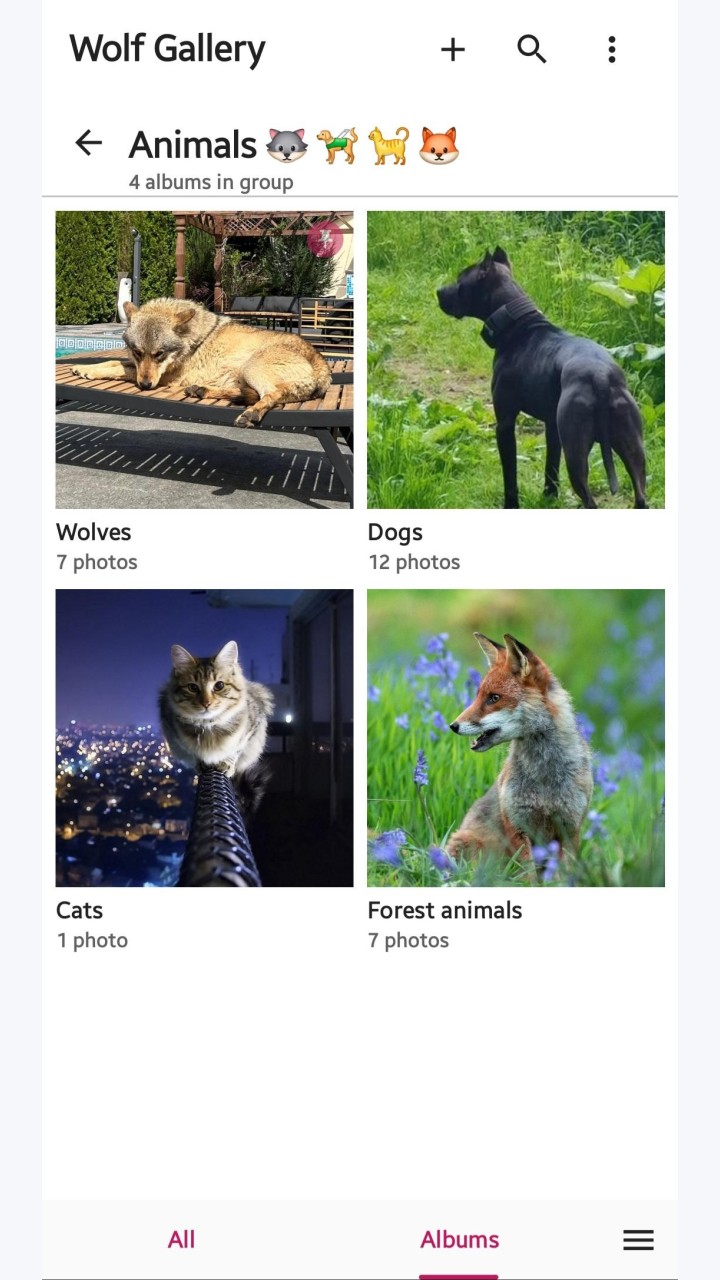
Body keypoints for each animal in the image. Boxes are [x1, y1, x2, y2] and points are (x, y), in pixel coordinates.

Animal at [70, 298, 332, 425]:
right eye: (137, 352)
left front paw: (90, 372)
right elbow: (114, 363)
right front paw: (82, 368)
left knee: (268, 395)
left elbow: (118, 369)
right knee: (249, 393)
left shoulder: (164, 379)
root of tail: (322, 364)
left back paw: (251, 414)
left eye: (159, 354)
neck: (190, 340)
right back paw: (200, 390)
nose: (144, 386)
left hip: (251, 367)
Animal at [437, 247, 649, 508]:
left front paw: (511, 505)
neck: (519, 324)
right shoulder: (552, 426)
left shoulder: (505, 423)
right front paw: (549, 496)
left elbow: (510, 475)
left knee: (590, 501)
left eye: (460, 280)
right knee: (640, 495)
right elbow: (551, 464)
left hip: (576, 454)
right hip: (633, 449)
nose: (438, 291)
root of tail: (601, 376)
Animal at [448, 632, 593, 865]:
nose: (453, 725)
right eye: (478, 695)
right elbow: (527, 872)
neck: (545, 778)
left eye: (494, 698)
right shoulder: (517, 825)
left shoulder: (570, 826)